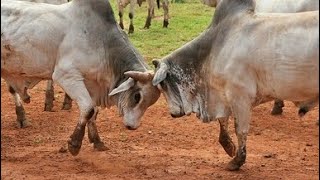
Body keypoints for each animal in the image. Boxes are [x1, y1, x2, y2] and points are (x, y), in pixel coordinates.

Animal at [0, 0, 160, 155]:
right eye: (137, 96)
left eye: (151, 102)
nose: (132, 126)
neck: (102, 43)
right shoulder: (66, 76)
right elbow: (88, 109)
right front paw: (74, 144)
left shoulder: (92, 84)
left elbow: (94, 112)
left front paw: (97, 140)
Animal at [148, 0, 318, 170]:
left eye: (162, 85)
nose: (172, 114)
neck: (212, 50)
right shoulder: (223, 94)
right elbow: (223, 122)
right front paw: (229, 147)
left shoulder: (239, 95)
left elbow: (240, 130)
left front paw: (237, 161)